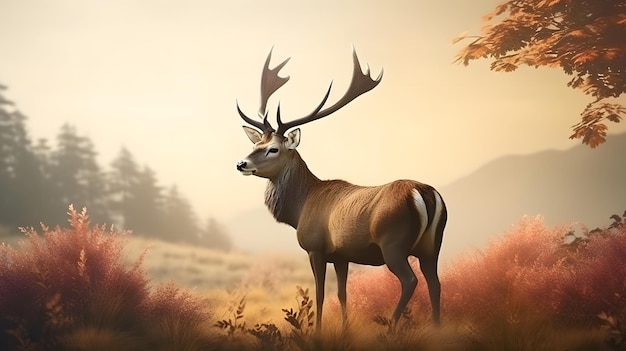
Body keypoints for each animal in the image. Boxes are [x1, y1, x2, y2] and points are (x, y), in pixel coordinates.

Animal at [234, 47, 444, 330]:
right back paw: (437, 328)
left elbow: (320, 293)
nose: (241, 163)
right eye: (256, 144)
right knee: (435, 283)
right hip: (432, 246)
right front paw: (344, 329)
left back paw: (390, 327)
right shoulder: (342, 255)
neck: (300, 209)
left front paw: (318, 331)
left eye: (273, 149)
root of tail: (425, 194)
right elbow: (342, 293)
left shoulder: (315, 247)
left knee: (410, 281)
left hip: (394, 242)